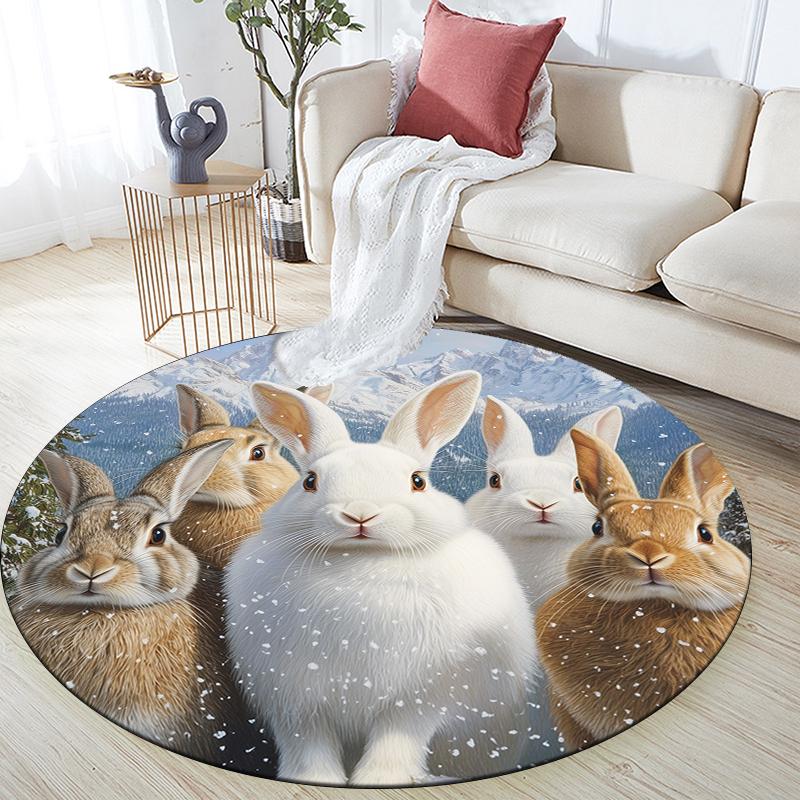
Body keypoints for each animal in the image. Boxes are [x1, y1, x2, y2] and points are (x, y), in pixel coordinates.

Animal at [225, 371, 537, 787]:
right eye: (310, 481)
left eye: (418, 481)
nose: (360, 514)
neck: (361, 562)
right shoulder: (296, 700)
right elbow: (308, 745)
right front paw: (316, 779)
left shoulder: (420, 698)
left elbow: (397, 738)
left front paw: (381, 779)